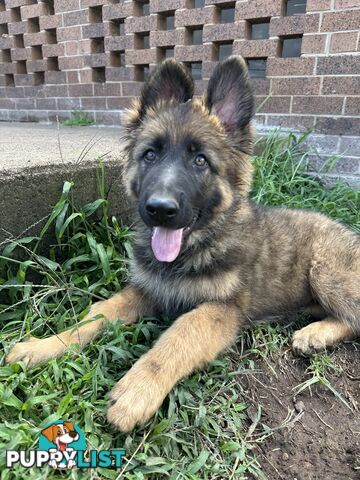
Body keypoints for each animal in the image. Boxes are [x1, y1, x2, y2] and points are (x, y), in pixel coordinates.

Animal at [6, 56, 360, 432]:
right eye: (150, 155)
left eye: (200, 160)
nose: (160, 209)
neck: (193, 249)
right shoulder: (147, 290)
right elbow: (97, 315)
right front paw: (43, 347)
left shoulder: (220, 310)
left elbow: (179, 337)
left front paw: (136, 391)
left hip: (325, 272)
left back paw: (314, 334)